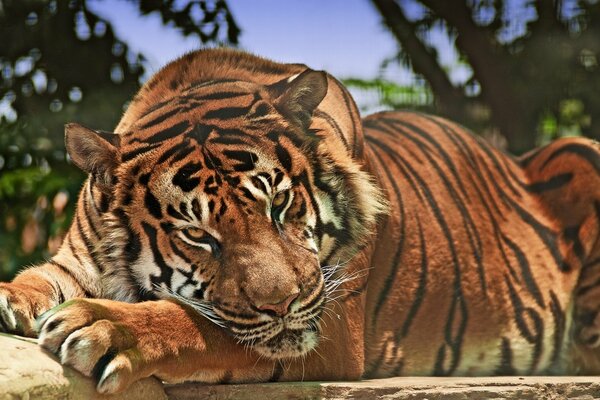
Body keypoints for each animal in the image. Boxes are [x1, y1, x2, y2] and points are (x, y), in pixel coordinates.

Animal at [1, 47, 600, 394]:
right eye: (197, 235)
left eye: (280, 205)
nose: (281, 304)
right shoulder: (74, 260)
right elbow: (39, 277)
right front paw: (11, 298)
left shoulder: (330, 322)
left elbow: (200, 322)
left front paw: (104, 326)